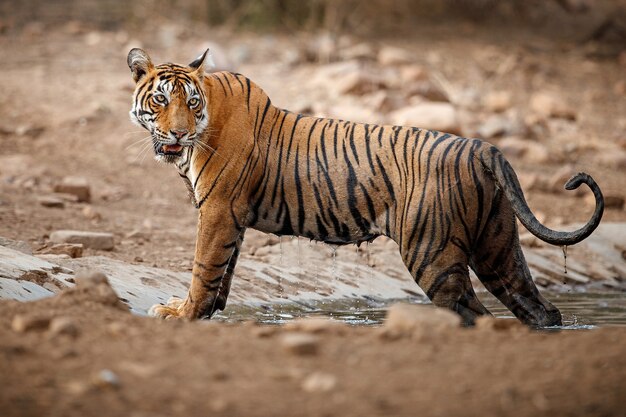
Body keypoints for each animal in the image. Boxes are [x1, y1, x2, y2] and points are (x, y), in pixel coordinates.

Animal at [128, 46, 604, 324]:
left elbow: (204, 267)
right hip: (498, 247)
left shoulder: (218, 211)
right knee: (541, 310)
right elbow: (222, 272)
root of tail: (481, 147)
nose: (177, 133)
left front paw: (182, 314)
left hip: (432, 253)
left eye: (190, 103)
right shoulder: (232, 217)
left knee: (474, 313)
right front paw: (204, 311)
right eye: (160, 99)